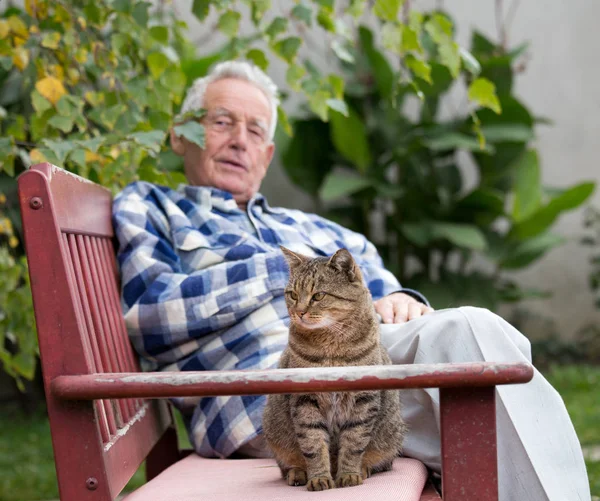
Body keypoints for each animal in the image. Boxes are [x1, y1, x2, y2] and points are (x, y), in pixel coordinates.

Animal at [264, 246, 408, 488]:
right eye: (293, 295)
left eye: (318, 295)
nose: (298, 312)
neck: (331, 347)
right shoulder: (305, 400)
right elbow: (313, 443)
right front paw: (319, 478)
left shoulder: (363, 400)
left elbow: (354, 442)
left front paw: (349, 474)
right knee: (287, 465)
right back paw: (298, 473)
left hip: (391, 434)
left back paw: (364, 469)